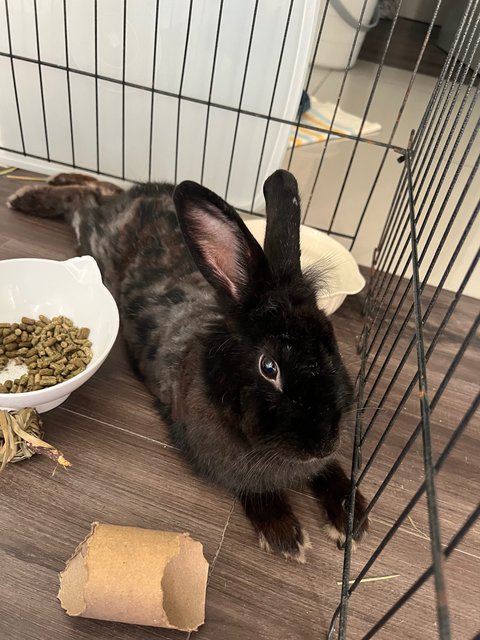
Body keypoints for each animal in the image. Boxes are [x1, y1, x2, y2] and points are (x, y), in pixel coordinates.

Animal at [6, 170, 368, 560]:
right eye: (269, 368)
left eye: (331, 344)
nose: (323, 444)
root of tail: (141, 196)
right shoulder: (224, 463)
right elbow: (254, 489)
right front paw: (286, 537)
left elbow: (331, 473)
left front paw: (352, 519)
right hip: (94, 238)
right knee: (83, 203)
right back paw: (28, 196)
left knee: (99, 189)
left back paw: (53, 180)